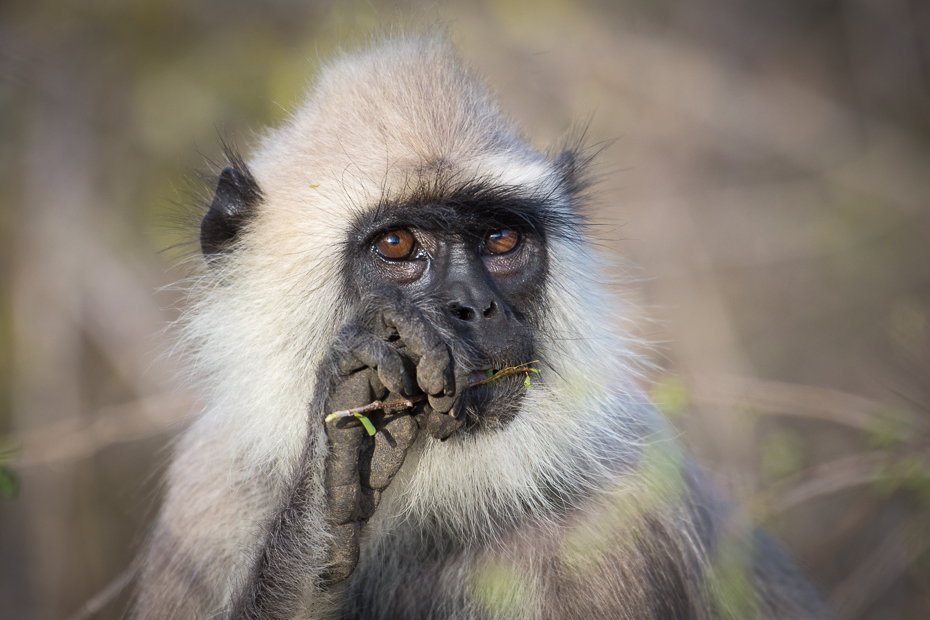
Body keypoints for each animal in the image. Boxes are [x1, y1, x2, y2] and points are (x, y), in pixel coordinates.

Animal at [132, 35, 832, 620]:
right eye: (396, 245)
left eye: (500, 239)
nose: (474, 306)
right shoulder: (206, 501)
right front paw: (341, 468)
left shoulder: (631, 510)